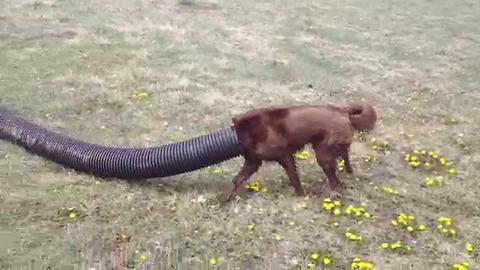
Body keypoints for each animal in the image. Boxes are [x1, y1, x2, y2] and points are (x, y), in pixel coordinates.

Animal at [227, 102, 376, 199]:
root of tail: (342, 110)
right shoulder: (253, 162)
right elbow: (236, 180)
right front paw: (226, 198)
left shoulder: (285, 156)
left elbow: (294, 178)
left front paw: (301, 195)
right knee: (345, 156)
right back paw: (349, 172)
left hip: (323, 153)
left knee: (333, 177)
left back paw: (333, 193)